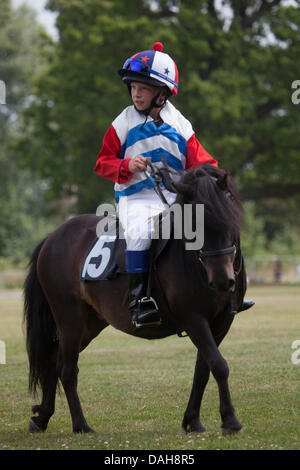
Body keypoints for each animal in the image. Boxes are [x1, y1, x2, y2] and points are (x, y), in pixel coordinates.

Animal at [23, 163, 247, 436]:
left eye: (229, 218)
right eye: (193, 225)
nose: (223, 281)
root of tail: (54, 236)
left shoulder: (221, 322)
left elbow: (203, 370)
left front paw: (193, 420)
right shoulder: (194, 320)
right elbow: (219, 365)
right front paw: (230, 420)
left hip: (90, 324)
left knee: (55, 361)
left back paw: (42, 417)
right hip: (69, 319)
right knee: (67, 370)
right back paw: (80, 425)